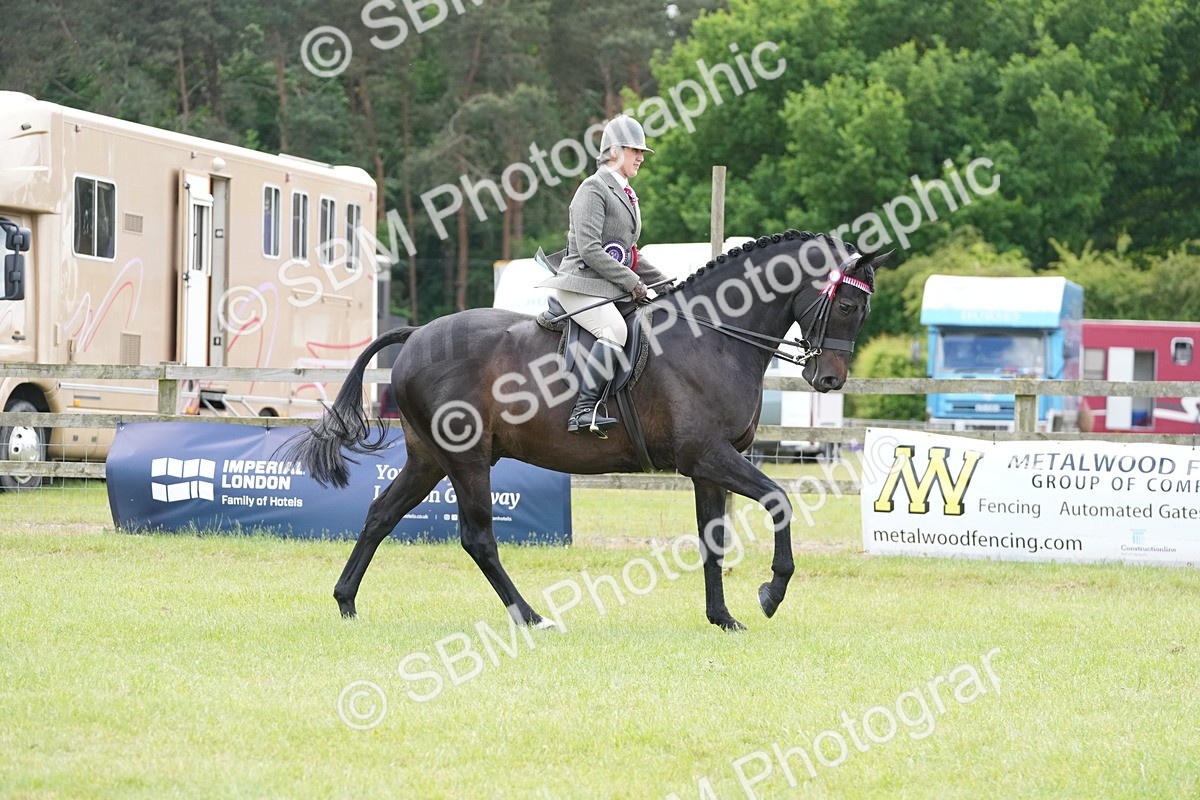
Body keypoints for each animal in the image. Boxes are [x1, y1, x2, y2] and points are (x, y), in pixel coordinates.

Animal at [286, 230, 889, 631]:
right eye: (848, 304)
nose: (830, 379)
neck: (714, 336)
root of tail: (414, 336)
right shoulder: (708, 456)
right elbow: (779, 499)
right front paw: (771, 593)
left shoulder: (708, 468)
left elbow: (712, 540)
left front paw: (722, 617)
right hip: (468, 461)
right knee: (478, 538)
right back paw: (531, 616)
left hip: (429, 459)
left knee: (381, 515)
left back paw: (346, 601)